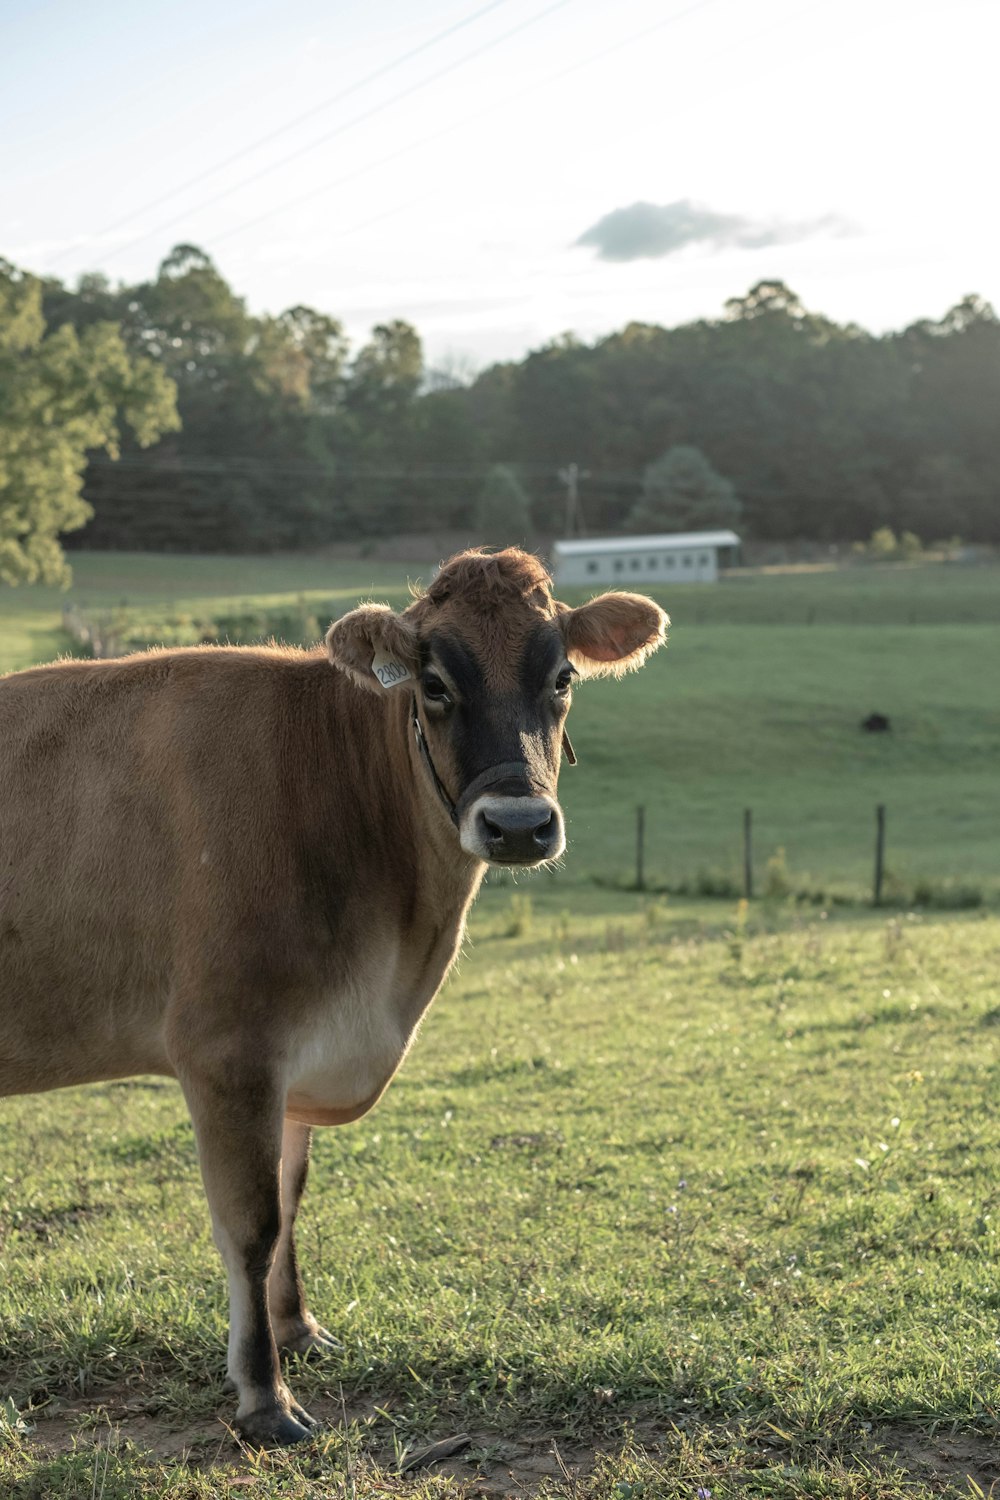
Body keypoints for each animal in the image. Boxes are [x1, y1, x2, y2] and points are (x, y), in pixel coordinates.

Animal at [1, 549, 671, 1440]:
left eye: (562, 676)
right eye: (433, 684)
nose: (519, 825)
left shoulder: (296, 1057)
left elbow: (291, 1203)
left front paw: (297, 1330)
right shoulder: (229, 1050)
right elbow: (251, 1227)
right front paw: (265, 1396)